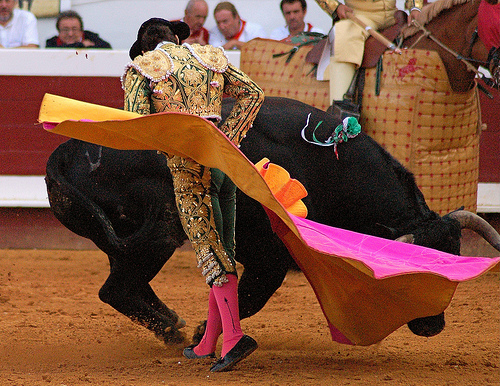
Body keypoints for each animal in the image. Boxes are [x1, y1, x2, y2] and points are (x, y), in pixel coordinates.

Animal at [45, 96, 498, 344]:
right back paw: (176, 331)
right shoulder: (269, 257)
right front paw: (206, 336)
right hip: (160, 231)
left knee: (123, 287)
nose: (433, 326)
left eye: (457, 260)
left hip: (127, 242)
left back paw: (172, 325)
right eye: (413, 278)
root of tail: (64, 153)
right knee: (119, 288)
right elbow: (252, 295)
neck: (330, 170)